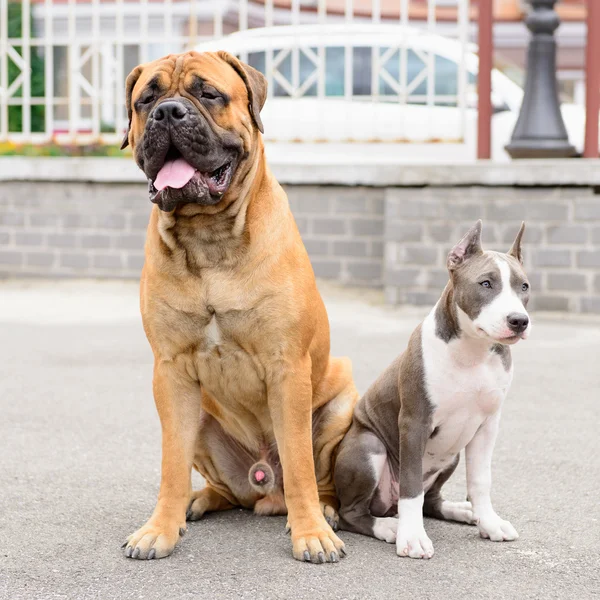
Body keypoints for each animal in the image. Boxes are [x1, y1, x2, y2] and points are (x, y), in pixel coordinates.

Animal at [119, 51, 358, 564]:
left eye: (209, 94)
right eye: (146, 99)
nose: (168, 113)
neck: (207, 235)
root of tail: (265, 487)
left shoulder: (288, 368)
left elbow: (300, 462)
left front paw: (311, 533)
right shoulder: (170, 372)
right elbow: (170, 464)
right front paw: (159, 528)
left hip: (341, 401)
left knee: (317, 475)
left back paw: (326, 511)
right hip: (203, 420)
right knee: (226, 491)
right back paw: (197, 501)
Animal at [336, 223, 532, 560]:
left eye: (524, 287)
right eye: (486, 283)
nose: (519, 321)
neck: (473, 351)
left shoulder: (487, 426)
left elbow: (480, 480)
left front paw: (489, 523)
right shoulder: (415, 423)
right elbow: (411, 487)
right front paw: (412, 537)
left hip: (450, 454)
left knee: (431, 501)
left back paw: (461, 511)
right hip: (368, 446)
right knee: (353, 512)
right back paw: (388, 527)